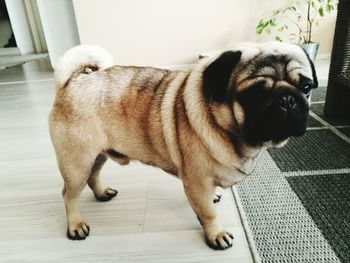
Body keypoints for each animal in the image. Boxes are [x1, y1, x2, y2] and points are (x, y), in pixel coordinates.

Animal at [49, 42, 318, 251]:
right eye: (254, 94)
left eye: (306, 87)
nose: (288, 99)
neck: (233, 135)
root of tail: (71, 81)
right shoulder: (197, 183)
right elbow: (208, 213)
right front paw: (216, 234)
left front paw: (215, 196)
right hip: (77, 161)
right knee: (69, 195)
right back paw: (75, 225)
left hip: (97, 155)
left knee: (93, 176)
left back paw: (102, 193)